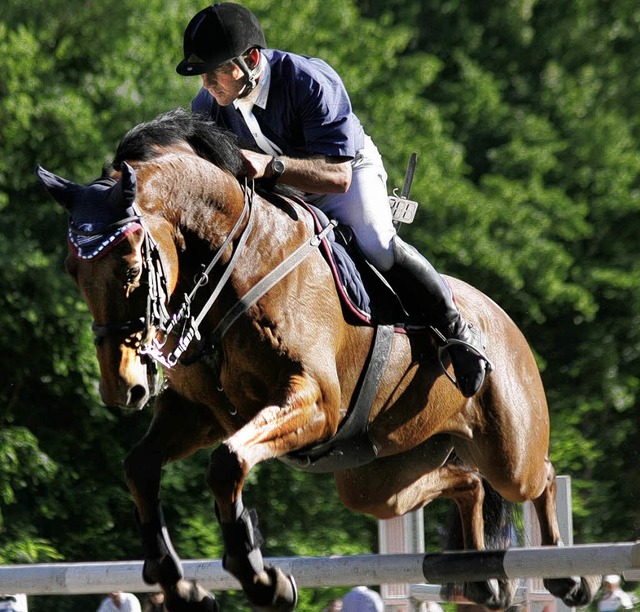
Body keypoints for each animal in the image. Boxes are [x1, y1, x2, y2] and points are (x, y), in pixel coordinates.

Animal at [38, 110, 600, 612]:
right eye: (71, 270)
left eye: (132, 266)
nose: (122, 388)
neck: (235, 262)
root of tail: (502, 317)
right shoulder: (199, 413)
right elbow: (140, 468)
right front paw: (183, 588)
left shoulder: (314, 404)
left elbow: (228, 463)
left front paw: (262, 580)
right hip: (379, 480)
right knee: (467, 483)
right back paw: (483, 581)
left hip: (508, 452)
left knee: (538, 478)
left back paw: (568, 579)